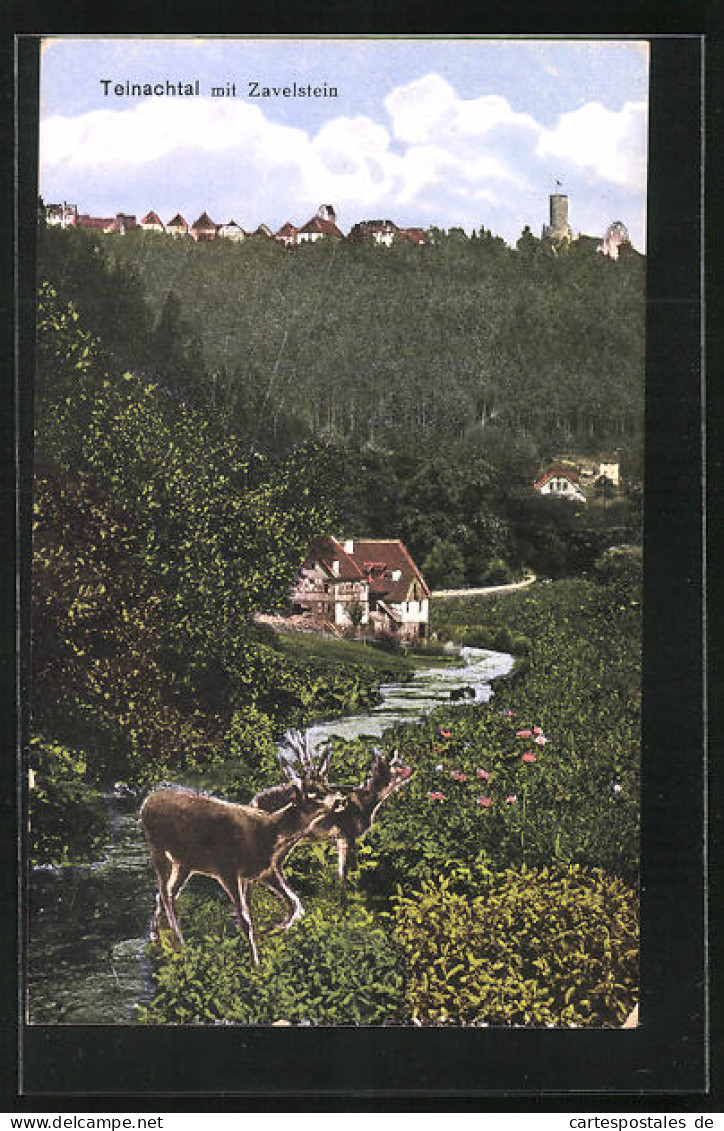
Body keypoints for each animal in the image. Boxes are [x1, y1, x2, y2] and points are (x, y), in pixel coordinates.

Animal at [141, 782, 348, 968]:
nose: (342, 799)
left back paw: (156, 937)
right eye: (315, 795)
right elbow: (245, 917)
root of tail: (146, 802)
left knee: (166, 894)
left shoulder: (261, 873)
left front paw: (268, 933)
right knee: (165, 893)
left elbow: (294, 903)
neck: (267, 835)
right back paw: (179, 944)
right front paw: (255, 963)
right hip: (158, 851)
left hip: (185, 864)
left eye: (326, 787)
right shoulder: (227, 871)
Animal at [250, 732, 411, 882]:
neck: (366, 802)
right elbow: (347, 871)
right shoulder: (348, 834)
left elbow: (342, 871)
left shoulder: (341, 837)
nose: (411, 769)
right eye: (396, 764)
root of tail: (253, 802)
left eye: (401, 760)